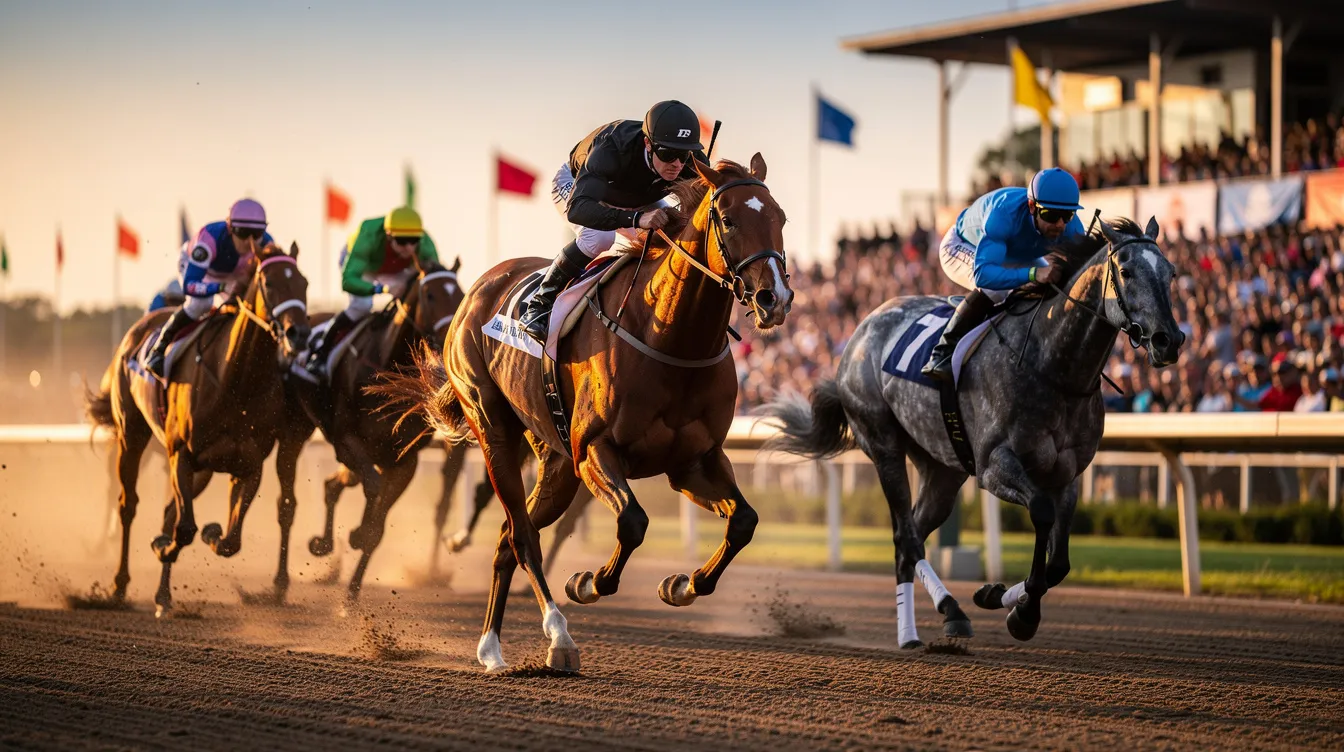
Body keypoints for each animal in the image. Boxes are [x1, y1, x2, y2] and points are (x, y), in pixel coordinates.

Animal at [85, 242, 310, 616]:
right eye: (270, 282)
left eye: (304, 283)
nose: (300, 334)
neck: (236, 382)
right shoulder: (180, 456)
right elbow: (186, 528)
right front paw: (166, 544)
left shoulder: (248, 465)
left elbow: (230, 540)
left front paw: (211, 533)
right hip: (132, 435)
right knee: (128, 505)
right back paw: (119, 586)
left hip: (202, 470)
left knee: (167, 513)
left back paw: (163, 595)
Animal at [271, 256, 465, 604]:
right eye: (430, 295)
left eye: (459, 294)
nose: (449, 342)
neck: (386, 365)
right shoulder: (347, 441)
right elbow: (372, 489)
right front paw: (357, 532)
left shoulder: (404, 461)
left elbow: (377, 527)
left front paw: (351, 592)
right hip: (297, 427)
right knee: (291, 499)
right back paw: (283, 579)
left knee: (332, 486)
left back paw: (323, 544)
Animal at [382, 155, 792, 673]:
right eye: (729, 219)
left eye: (781, 218)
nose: (775, 299)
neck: (671, 338)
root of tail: (478, 288)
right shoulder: (596, 450)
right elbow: (633, 522)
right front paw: (588, 582)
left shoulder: (694, 462)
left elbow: (744, 521)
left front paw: (683, 584)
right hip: (495, 431)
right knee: (522, 536)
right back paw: (552, 636)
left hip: (555, 463)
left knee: (507, 537)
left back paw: (493, 645)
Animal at [760, 217, 1184, 646]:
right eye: (1126, 272)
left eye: (1171, 272)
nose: (1169, 340)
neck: (1053, 368)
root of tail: (863, 328)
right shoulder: (994, 467)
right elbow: (1040, 512)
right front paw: (1022, 613)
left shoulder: (1068, 475)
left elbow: (1059, 563)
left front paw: (999, 596)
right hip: (883, 444)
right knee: (906, 536)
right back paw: (941, 616)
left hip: (942, 468)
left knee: (911, 535)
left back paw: (921, 626)